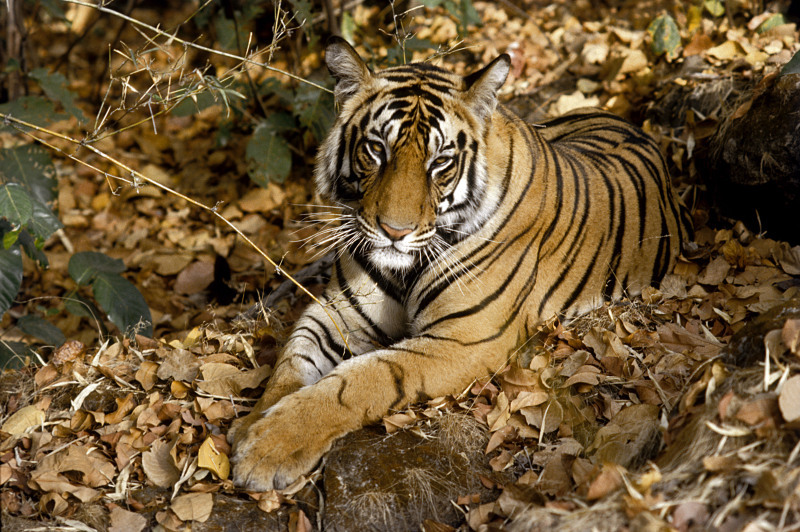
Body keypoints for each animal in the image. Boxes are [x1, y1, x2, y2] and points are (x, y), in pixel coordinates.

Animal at [229, 36, 690, 490]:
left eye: (440, 162)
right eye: (376, 149)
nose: (394, 231)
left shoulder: (462, 340)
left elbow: (361, 380)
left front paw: (269, 447)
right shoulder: (340, 312)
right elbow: (291, 361)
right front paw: (250, 425)